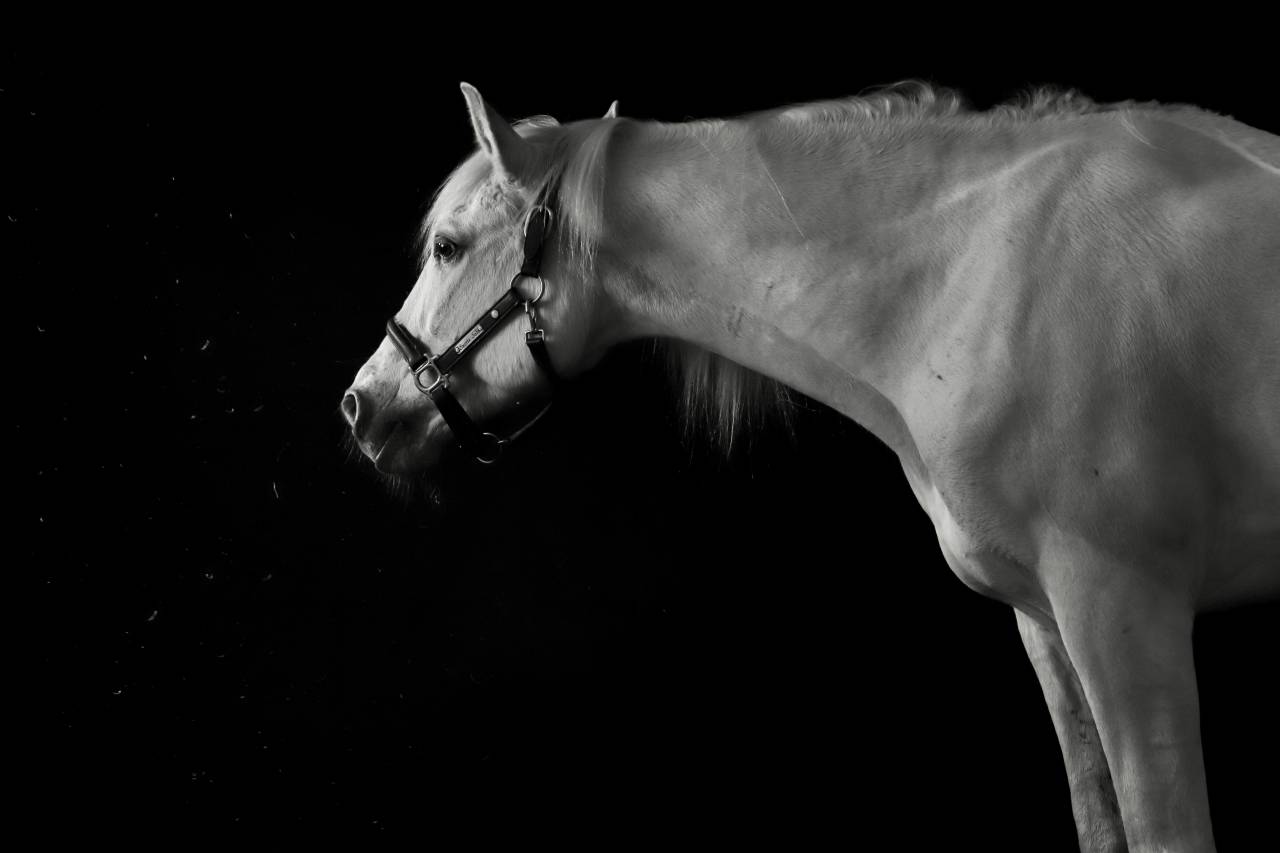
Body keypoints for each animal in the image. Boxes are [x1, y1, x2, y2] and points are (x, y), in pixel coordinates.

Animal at [341, 82, 1280, 852]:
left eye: (449, 247)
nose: (360, 405)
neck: (977, 273)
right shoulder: (1048, 623)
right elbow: (1101, 820)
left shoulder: (1125, 614)